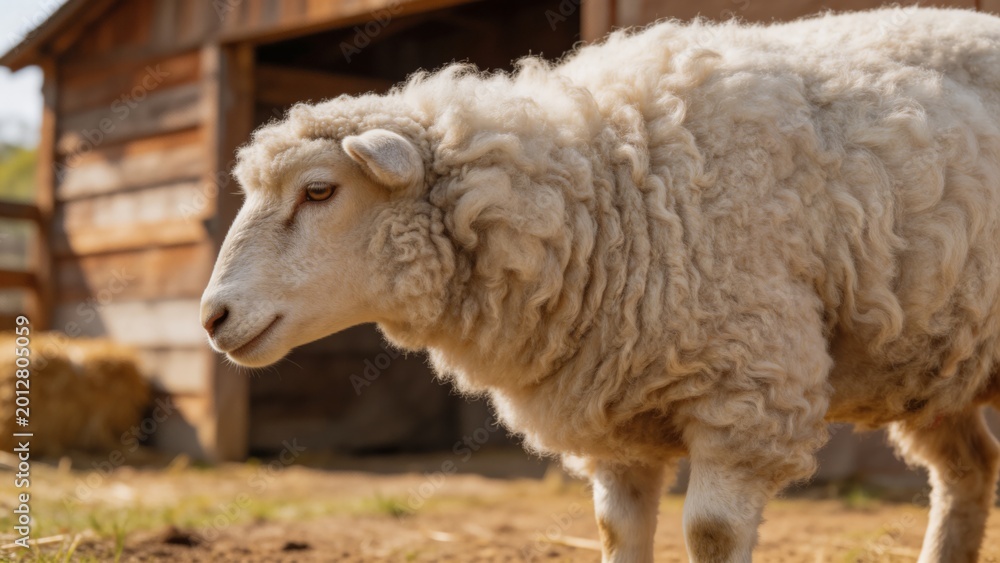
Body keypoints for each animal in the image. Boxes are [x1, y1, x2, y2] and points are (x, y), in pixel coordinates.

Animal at [200, 7, 1000, 561]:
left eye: (319, 190)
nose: (212, 317)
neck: (606, 190)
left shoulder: (750, 390)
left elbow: (711, 532)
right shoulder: (617, 404)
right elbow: (615, 531)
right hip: (937, 355)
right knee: (968, 469)